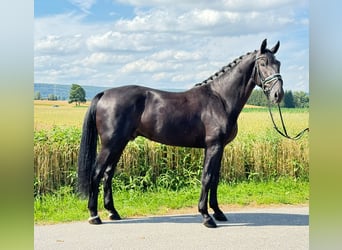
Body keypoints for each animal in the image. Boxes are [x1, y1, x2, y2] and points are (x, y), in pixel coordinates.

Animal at [79, 39, 284, 229]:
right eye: (263, 63)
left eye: (278, 63)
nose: (278, 95)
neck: (220, 99)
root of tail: (104, 94)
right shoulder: (213, 146)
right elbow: (207, 177)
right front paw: (206, 217)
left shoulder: (220, 147)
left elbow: (215, 179)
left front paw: (218, 212)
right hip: (110, 145)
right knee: (96, 173)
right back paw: (94, 215)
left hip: (119, 144)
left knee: (108, 174)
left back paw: (113, 212)